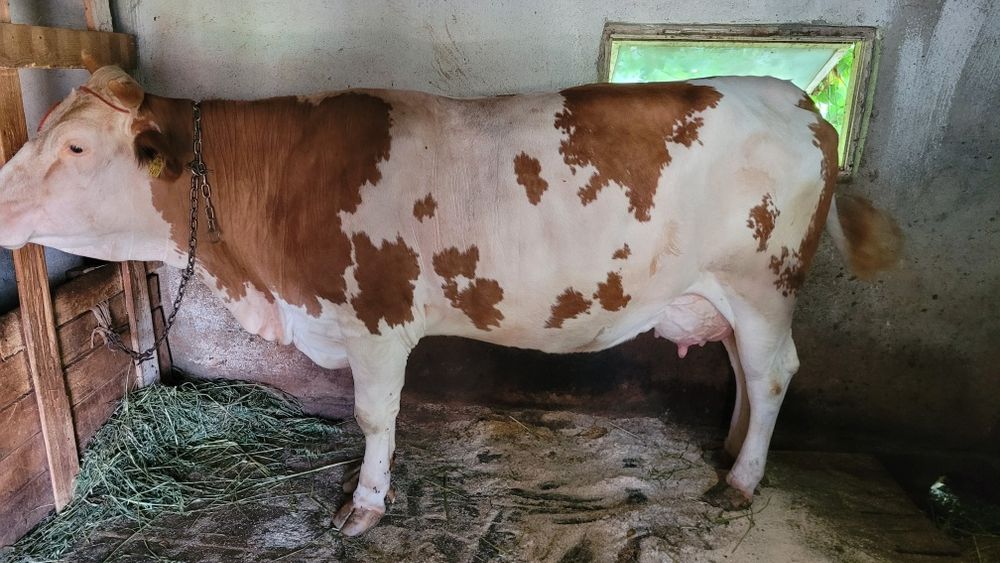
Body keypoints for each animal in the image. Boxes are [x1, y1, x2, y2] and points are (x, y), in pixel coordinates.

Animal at [0, 62, 901, 536]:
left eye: (74, 145)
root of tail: (798, 100)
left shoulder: (375, 322)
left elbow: (374, 417)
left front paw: (363, 506)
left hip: (761, 285)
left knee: (774, 371)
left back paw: (743, 478)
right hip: (729, 295)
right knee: (748, 374)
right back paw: (731, 449)